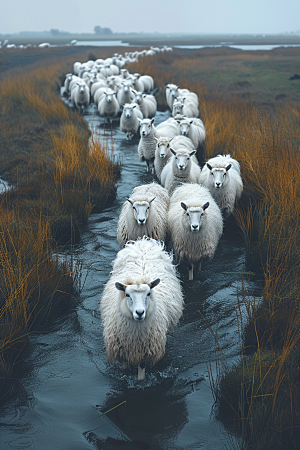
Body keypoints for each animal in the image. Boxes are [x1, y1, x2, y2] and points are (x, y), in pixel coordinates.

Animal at [99, 237, 183, 382]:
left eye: (149, 293)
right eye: (127, 295)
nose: (139, 313)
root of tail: (143, 241)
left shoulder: (146, 352)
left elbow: (141, 375)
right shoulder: (123, 351)